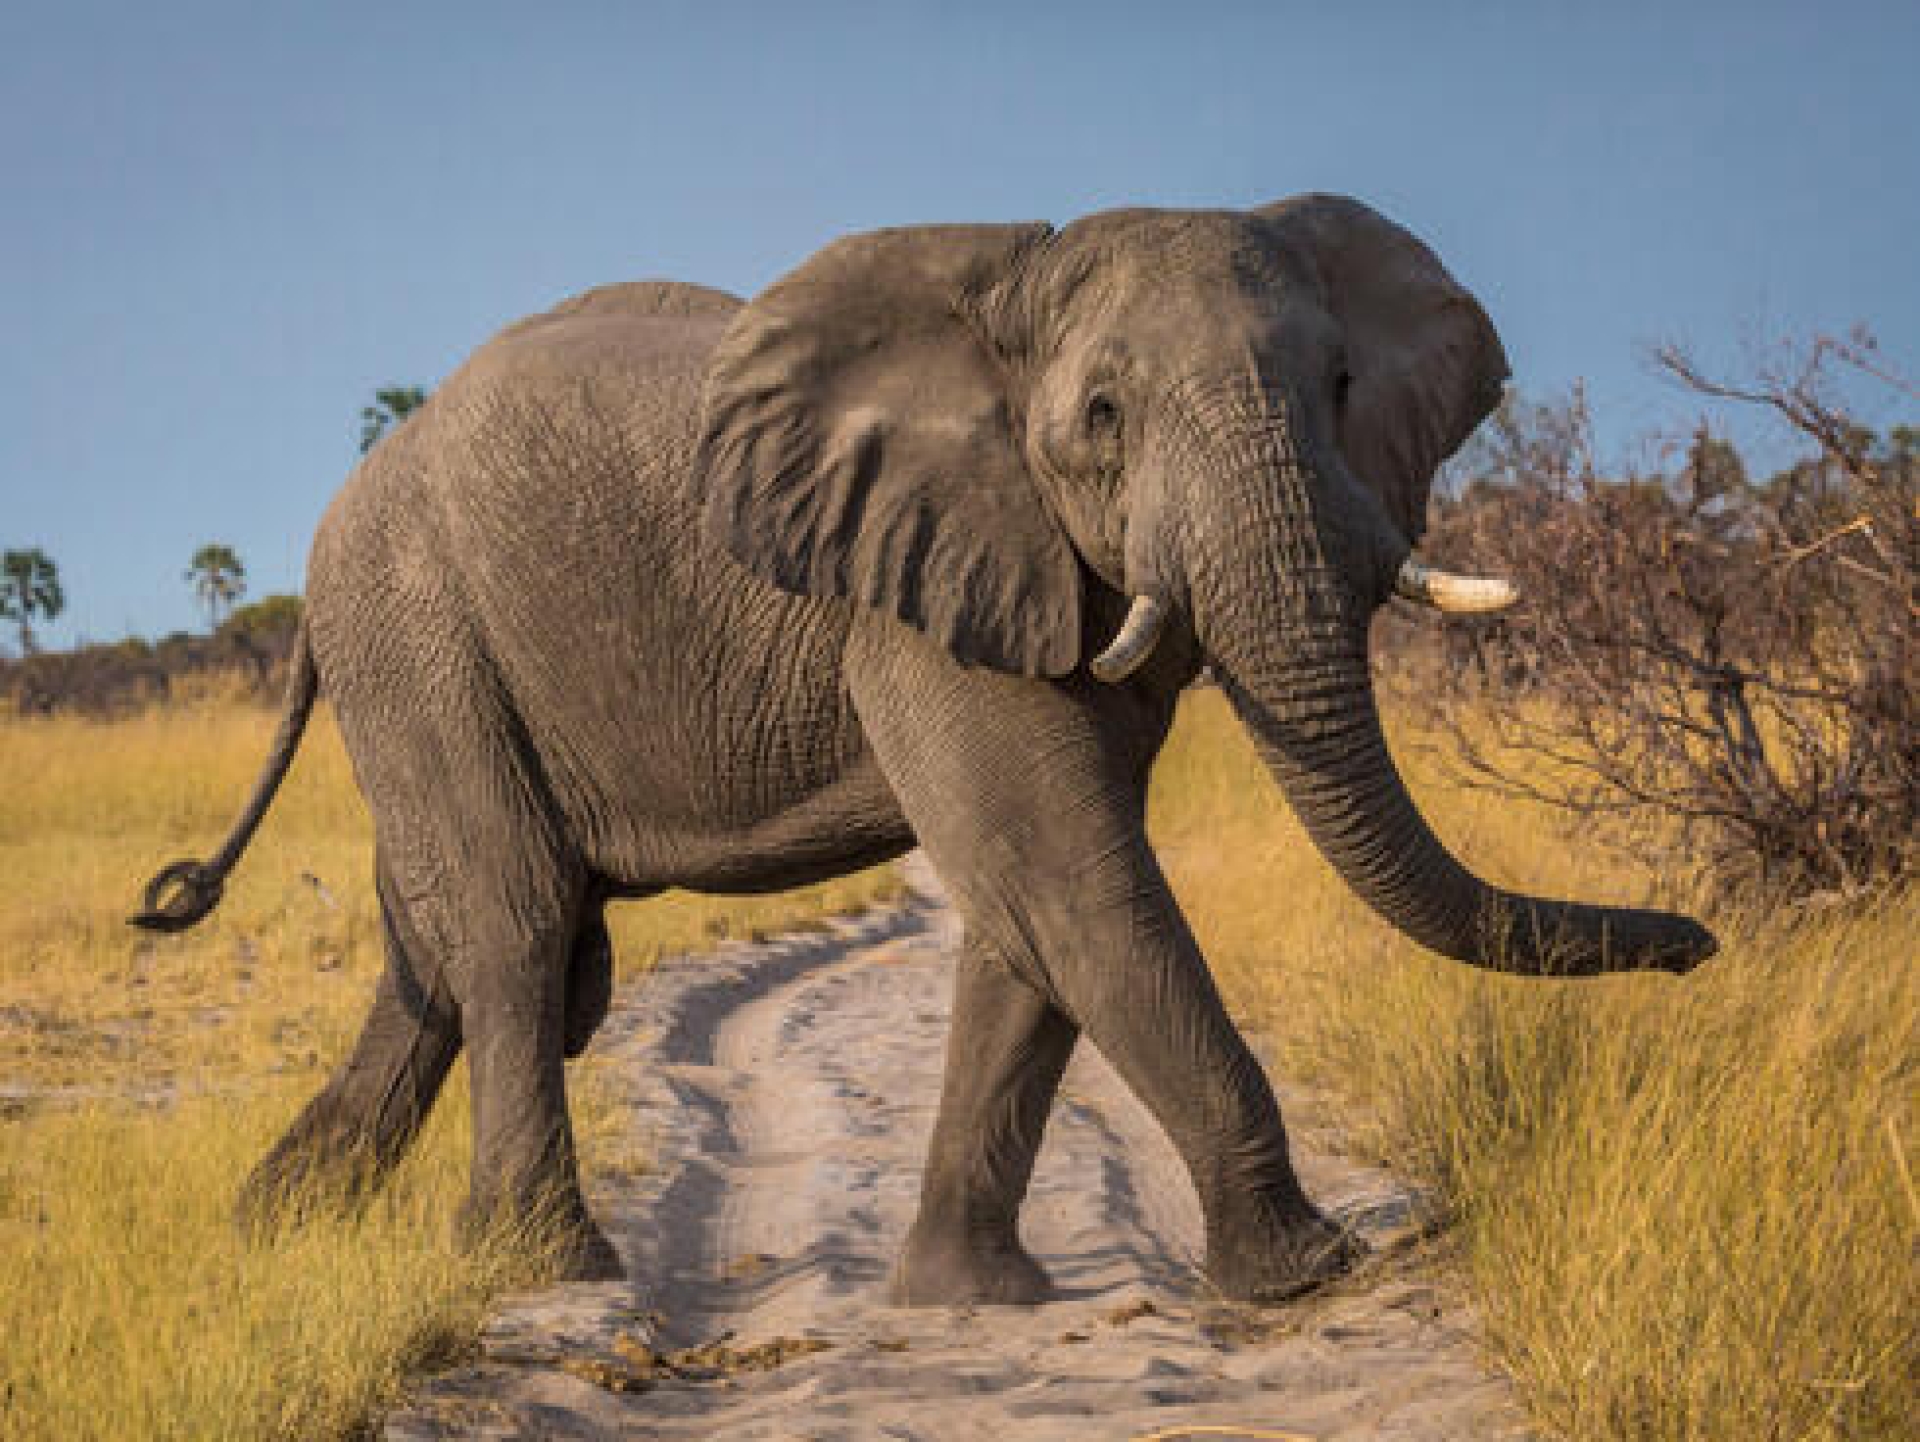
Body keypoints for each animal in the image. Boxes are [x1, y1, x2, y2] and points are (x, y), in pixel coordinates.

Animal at [133, 194, 1715, 1305]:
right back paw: (544, 1269)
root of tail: (340, 513)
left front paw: (970, 1296)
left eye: (1339, 389)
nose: (1703, 944)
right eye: (1102, 416)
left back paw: (271, 1232)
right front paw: (1306, 1272)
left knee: (439, 947)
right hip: (419, 621)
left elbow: (1029, 914)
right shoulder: (920, 583)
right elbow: (1072, 874)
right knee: (515, 927)